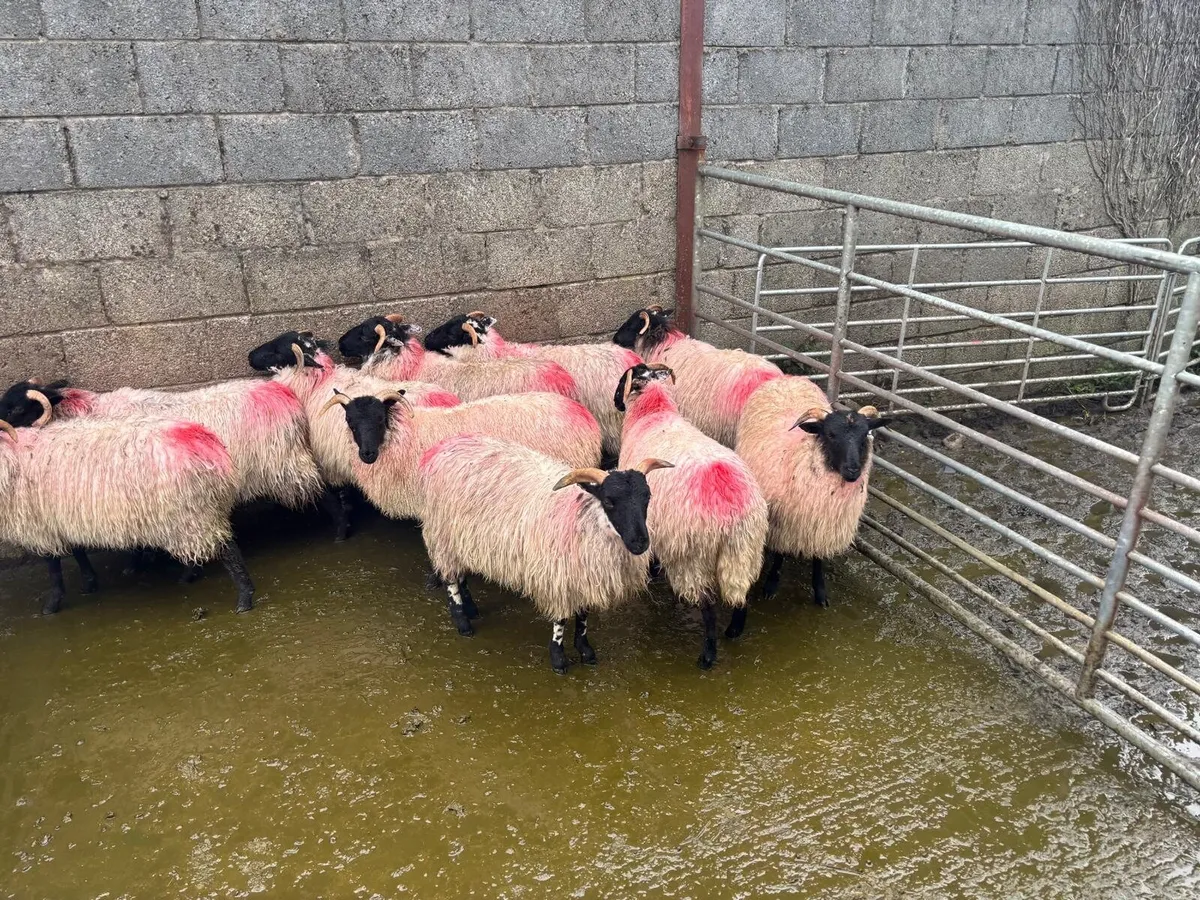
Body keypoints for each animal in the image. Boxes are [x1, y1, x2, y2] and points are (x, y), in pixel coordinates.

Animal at [0, 413, 253, 616]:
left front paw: (51, 605)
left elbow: (53, 567)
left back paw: (244, 597)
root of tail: (203, 441)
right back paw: (189, 576)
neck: (15, 457)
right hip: (195, 512)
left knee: (227, 549)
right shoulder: (65, 518)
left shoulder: (40, 525)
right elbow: (78, 551)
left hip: (194, 510)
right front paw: (89, 583)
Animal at [246, 331, 461, 540]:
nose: (250, 355)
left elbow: (330, 497)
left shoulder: (323, 459)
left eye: (277, 351)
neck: (317, 384)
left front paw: (342, 528)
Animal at [417, 433, 672, 673]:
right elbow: (560, 620)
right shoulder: (557, 577)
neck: (582, 516)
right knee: (451, 578)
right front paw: (558, 659)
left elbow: (583, 616)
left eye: (647, 497)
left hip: (462, 539)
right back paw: (462, 621)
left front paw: (586, 651)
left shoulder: (583, 576)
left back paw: (471, 609)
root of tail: (444, 445)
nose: (640, 543)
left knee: (460, 573)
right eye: (609, 501)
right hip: (443, 535)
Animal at [615, 363, 769, 668]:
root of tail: (731, 501)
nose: (616, 402)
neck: (654, 414)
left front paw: (652, 572)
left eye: (622, 381)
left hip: (695, 556)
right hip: (745, 550)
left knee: (707, 606)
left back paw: (707, 656)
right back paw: (734, 631)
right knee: (741, 593)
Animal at [735, 375, 889, 609]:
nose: (853, 470)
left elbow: (819, 560)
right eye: (831, 434)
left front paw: (820, 592)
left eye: (865, 435)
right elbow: (779, 555)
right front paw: (771, 586)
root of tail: (787, 378)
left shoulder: (822, 527)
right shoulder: (783, 523)